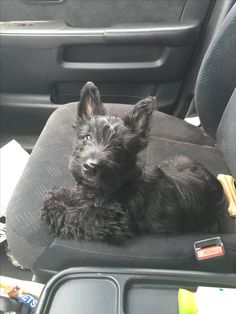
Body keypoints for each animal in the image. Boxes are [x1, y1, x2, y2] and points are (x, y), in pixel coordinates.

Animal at [41, 82, 226, 244]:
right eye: (87, 137)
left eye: (118, 147)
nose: (90, 167)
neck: (120, 182)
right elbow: (78, 194)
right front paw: (60, 194)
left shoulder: (114, 222)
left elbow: (79, 215)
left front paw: (54, 208)